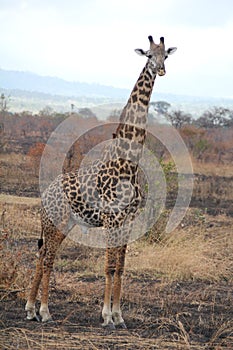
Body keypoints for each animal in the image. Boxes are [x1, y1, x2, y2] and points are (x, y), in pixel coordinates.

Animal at [25, 35, 177, 328]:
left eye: (166, 55)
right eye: (148, 55)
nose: (162, 70)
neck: (128, 164)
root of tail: (45, 194)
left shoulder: (128, 220)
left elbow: (121, 266)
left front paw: (119, 315)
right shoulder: (111, 219)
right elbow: (108, 266)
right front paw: (106, 316)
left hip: (65, 225)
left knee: (42, 255)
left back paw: (30, 309)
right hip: (55, 222)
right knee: (47, 259)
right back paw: (45, 312)